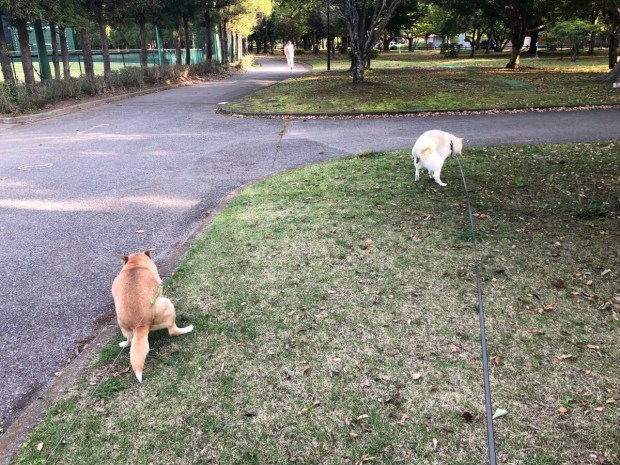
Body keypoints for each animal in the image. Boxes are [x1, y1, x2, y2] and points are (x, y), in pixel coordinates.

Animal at [111, 250, 193, 382]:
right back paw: (187, 329)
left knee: (130, 340)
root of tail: (140, 325)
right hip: (167, 304)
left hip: (121, 323)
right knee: (172, 331)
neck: (134, 265)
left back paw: (124, 343)